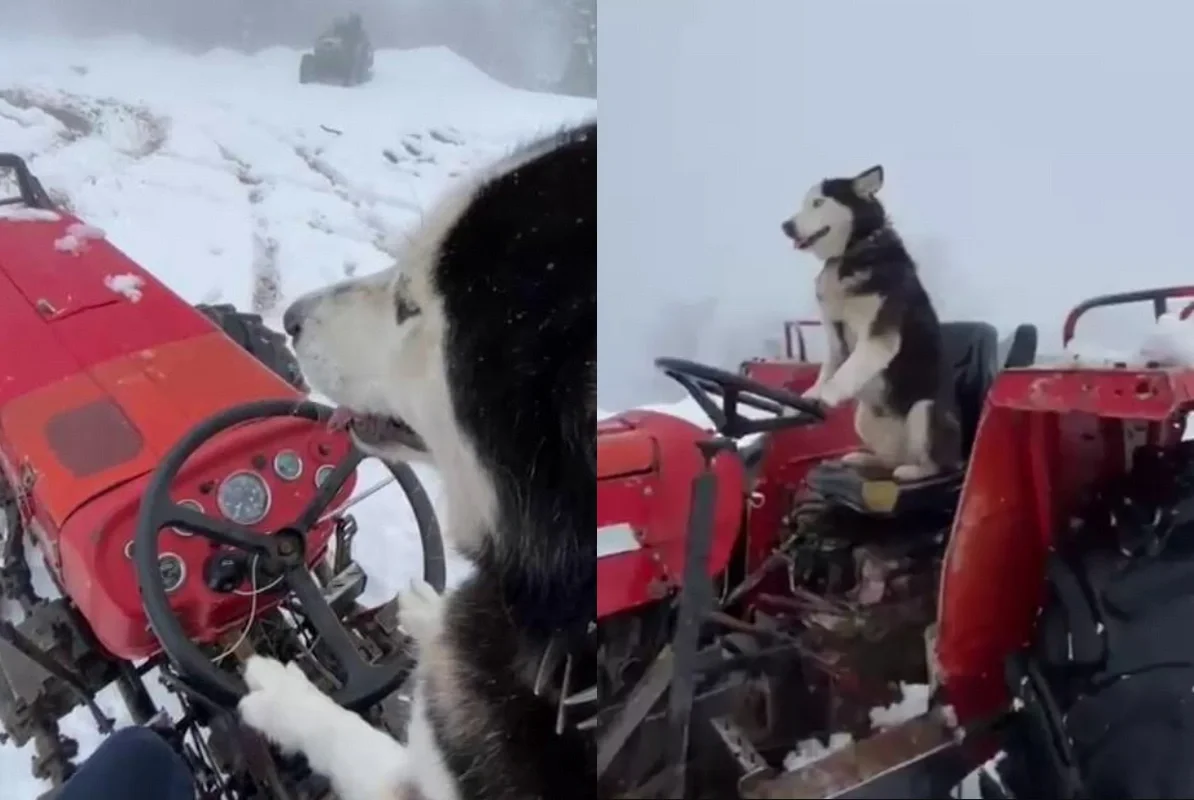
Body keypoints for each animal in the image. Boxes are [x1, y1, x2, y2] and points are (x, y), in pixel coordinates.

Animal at [783, 167, 959, 482]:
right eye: (804, 203)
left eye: (818, 202)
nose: (786, 226)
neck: (850, 252)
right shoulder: (835, 335)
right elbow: (829, 369)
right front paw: (811, 394)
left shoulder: (878, 337)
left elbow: (844, 373)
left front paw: (826, 396)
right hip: (864, 417)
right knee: (888, 458)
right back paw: (864, 459)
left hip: (924, 410)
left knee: (934, 464)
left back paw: (913, 471)